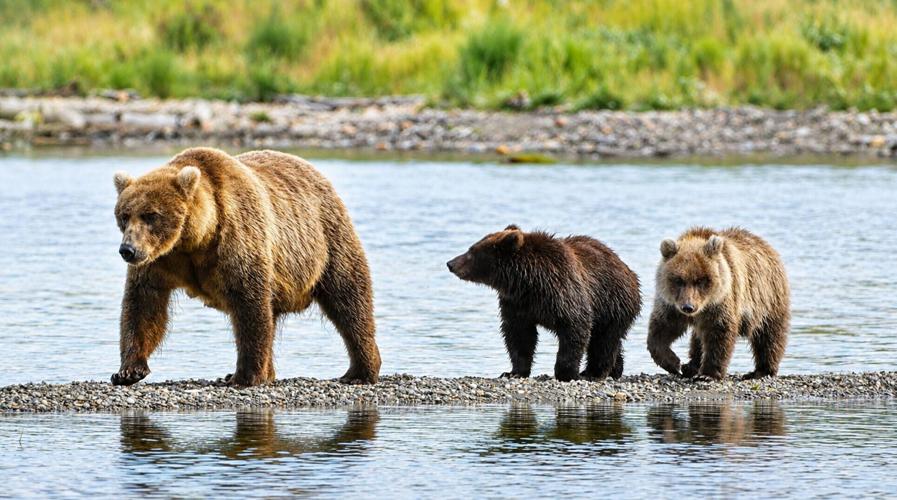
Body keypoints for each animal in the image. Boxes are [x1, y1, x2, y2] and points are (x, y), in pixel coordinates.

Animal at [111, 147, 381, 386]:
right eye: (124, 215)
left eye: (150, 215)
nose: (127, 250)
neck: (195, 239)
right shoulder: (159, 261)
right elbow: (143, 305)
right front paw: (128, 371)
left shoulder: (237, 238)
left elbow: (249, 305)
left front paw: (245, 376)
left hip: (326, 239)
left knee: (348, 298)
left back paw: (360, 371)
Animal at [447, 225, 641, 382]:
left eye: (471, 251)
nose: (450, 263)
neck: (528, 281)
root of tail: (626, 268)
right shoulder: (516, 303)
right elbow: (519, 336)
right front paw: (513, 372)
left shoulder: (563, 292)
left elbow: (575, 327)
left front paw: (566, 373)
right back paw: (615, 370)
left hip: (612, 302)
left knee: (604, 340)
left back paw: (594, 373)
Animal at [646, 227, 790, 381]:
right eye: (678, 280)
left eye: (701, 280)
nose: (688, 307)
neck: (703, 307)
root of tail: (766, 245)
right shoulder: (671, 304)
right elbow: (662, 328)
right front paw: (673, 363)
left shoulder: (721, 301)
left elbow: (719, 332)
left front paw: (707, 374)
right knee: (697, 338)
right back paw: (690, 366)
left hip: (768, 298)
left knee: (769, 335)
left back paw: (761, 371)